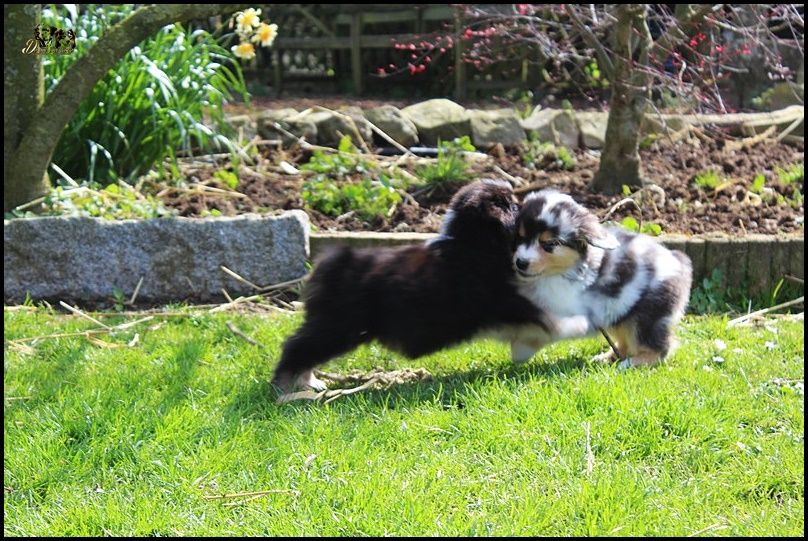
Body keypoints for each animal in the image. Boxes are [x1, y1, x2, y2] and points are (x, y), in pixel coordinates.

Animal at [272, 179, 550, 392]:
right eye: (512, 205)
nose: (528, 205)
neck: (473, 241)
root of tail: (334, 263)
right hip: (339, 326)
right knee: (297, 347)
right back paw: (295, 385)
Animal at [507, 189, 693, 368]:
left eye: (550, 244)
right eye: (521, 237)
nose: (521, 262)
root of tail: (681, 264)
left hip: (646, 316)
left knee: (659, 348)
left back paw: (631, 363)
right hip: (621, 313)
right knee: (625, 342)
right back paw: (606, 358)